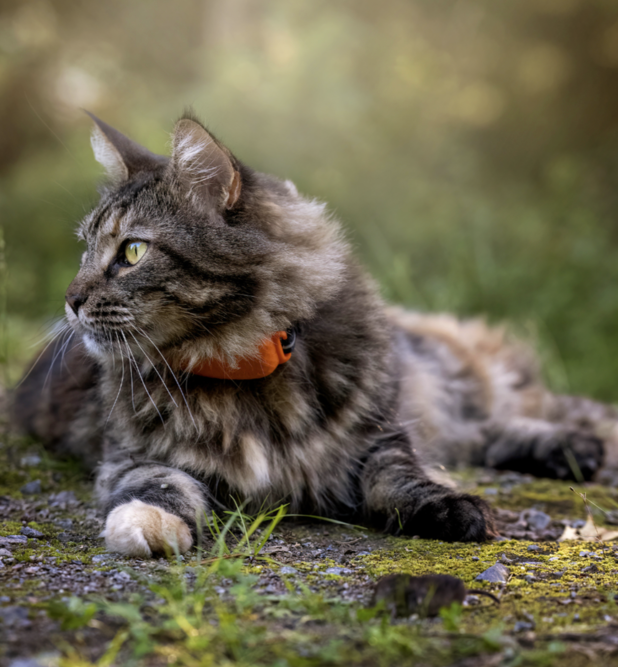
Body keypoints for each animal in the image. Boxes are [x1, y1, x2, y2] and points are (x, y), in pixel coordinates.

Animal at [10, 115, 616, 560]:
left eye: (132, 251)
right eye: (85, 249)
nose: (70, 300)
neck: (242, 370)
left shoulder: (380, 436)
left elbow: (401, 478)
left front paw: (451, 508)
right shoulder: (131, 455)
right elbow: (159, 485)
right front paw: (144, 524)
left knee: (516, 415)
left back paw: (579, 446)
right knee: (482, 433)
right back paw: (573, 451)